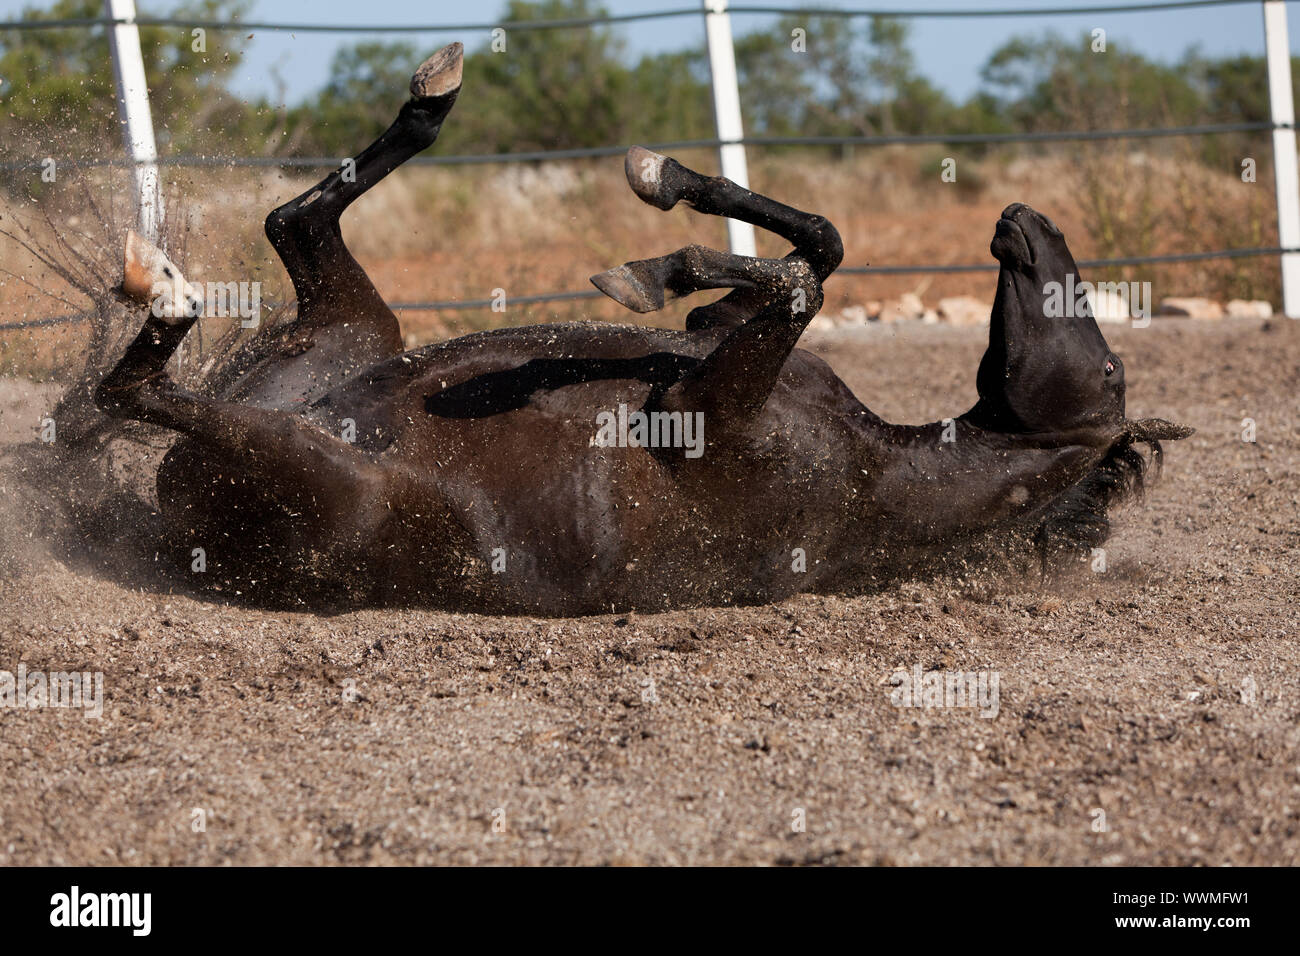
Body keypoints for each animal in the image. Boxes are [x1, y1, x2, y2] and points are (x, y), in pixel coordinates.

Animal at [94, 43, 1192, 615]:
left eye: (1106, 364)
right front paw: (668, 218)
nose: (1028, 221)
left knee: (136, 386)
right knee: (293, 223)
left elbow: (801, 285)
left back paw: (167, 294)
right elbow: (815, 253)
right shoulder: (719, 351)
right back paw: (430, 97)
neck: (882, 467)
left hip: (331, 475)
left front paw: (658, 258)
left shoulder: (710, 409)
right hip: (355, 335)